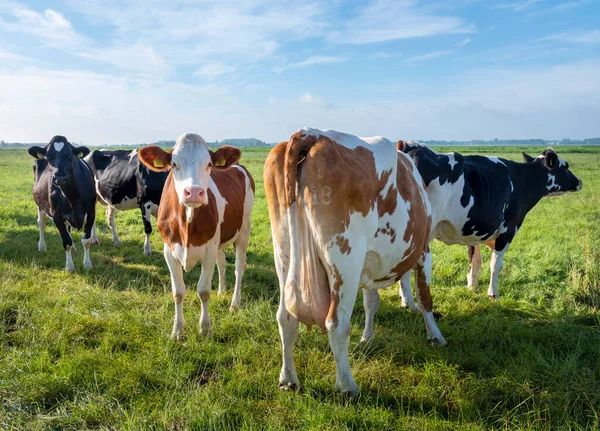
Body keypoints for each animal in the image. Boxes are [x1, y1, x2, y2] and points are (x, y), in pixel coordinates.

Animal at [28, 135, 96, 272]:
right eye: (48, 157)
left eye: (70, 156)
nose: (59, 177)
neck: (73, 196)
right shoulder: (57, 216)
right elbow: (66, 242)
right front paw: (69, 267)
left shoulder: (91, 212)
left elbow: (86, 240)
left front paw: (87, 264)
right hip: (40, 206)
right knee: (41, 224)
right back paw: (42, 247)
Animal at [137, 133, 254, 342]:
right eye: (174, 164)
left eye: (209, 164)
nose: (193, 192)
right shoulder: (169, 250)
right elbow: (178, 292)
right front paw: (177, 331)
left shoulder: (208, 249)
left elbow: (203, 291)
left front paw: (205, 329)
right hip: (219, 239)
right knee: (222, 262)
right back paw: (222, 291)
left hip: (244, 229)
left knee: (239, 266)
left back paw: (234, 303)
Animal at [264, 126, 448, 396]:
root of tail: (310, 133)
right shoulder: (424, 252)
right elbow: (425, 297)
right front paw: (435, 336)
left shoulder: (368, 264)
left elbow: (371, 301)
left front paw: (367, 337)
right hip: (344, 260)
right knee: (336, 323)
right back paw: (347, 386)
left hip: (283, 252)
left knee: (285, 318)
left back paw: (288, 379)